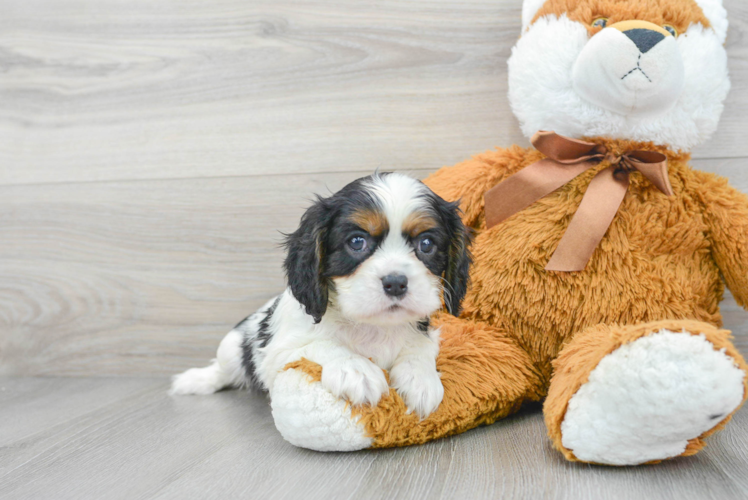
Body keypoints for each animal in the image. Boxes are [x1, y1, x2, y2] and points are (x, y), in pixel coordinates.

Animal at [172, 172, 470, 418]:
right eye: (357, 242)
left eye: (426, 244)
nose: (396, 283)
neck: (372, 326)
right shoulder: (278, 352)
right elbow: (320, 344)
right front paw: (356, 370)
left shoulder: (426, 333)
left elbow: (419, 348)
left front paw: (420, 379)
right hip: (231, 346)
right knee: (222, 370)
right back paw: (195, 380)